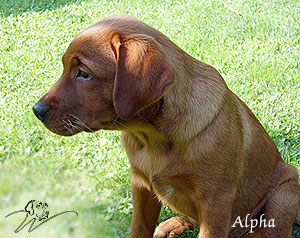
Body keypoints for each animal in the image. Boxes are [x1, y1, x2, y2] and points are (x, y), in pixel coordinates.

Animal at [34, 15, 298, 238]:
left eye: (84, 74)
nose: (37, 111)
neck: (151, 137)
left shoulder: (216, 202)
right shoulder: (141, 186)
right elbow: (139, 228)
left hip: (285, 192)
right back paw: (171, 225)